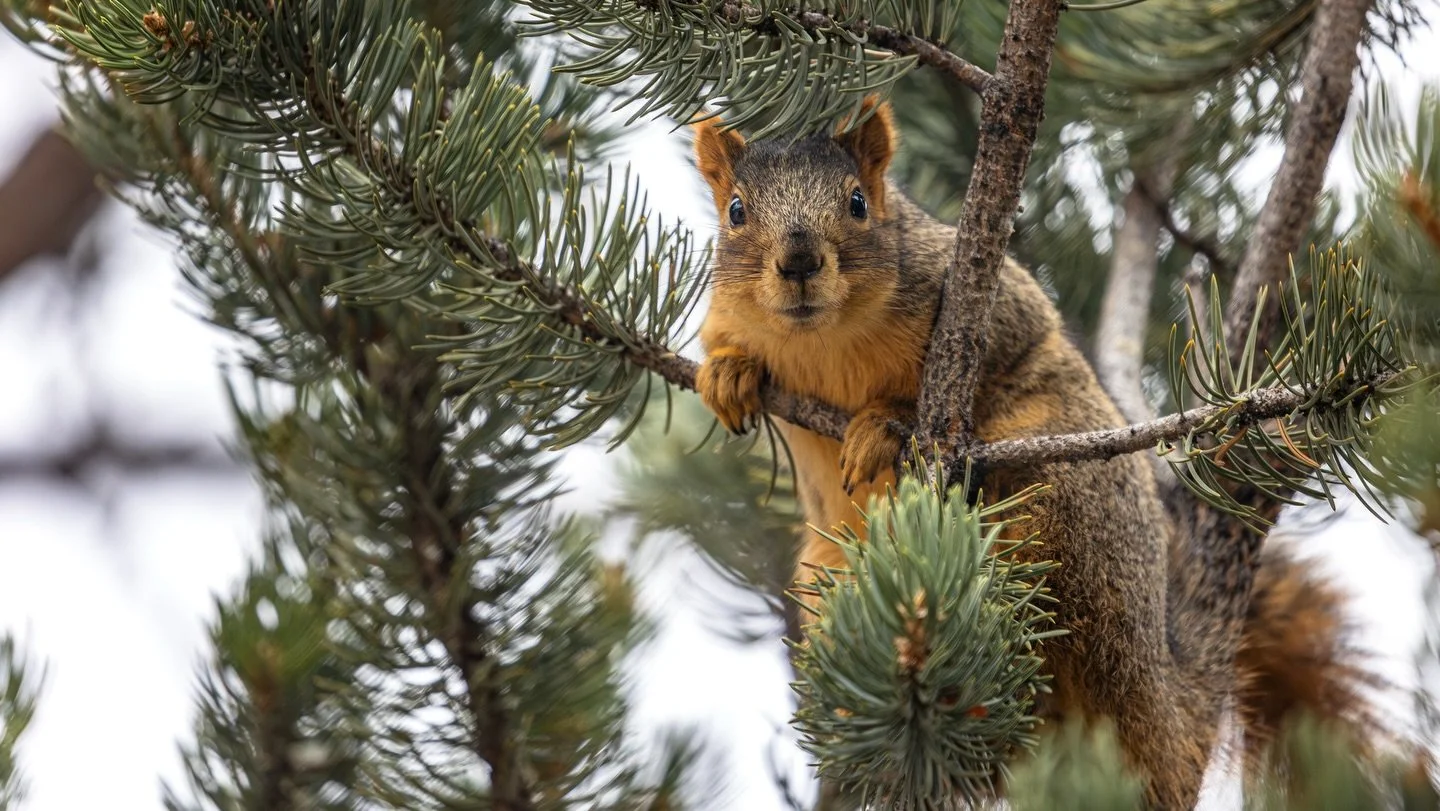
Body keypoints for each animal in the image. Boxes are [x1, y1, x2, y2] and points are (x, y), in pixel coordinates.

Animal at [691, 97, 1378, 808]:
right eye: (735, 210)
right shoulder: (725, 318)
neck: (822, 341)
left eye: (857, 202)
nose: (799, 260)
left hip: (1067, 502)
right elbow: (720, 347)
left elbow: (981, 364)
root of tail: (1163, 699)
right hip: (830, 584)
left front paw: (882, 425)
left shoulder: (986, 305)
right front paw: (727, 375)